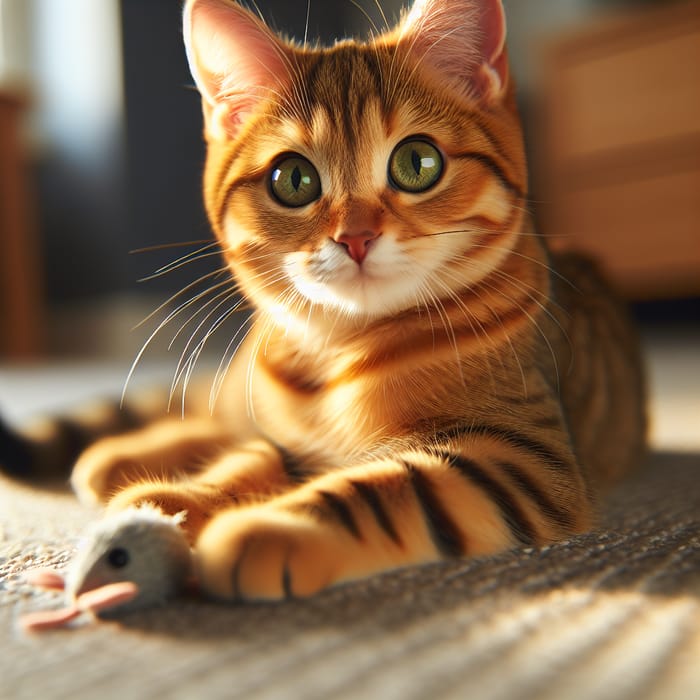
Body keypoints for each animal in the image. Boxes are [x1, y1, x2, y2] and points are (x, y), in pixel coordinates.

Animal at [5, 1, 648, 600]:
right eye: (293, 179)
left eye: (418, 162)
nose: (355, 238)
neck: (341, 351)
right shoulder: (291, 436)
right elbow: (253, 457)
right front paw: (188, 499)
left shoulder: (523, 456)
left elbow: (388, 487)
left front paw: (264, 528)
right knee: (219, 416)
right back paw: (123, 456)